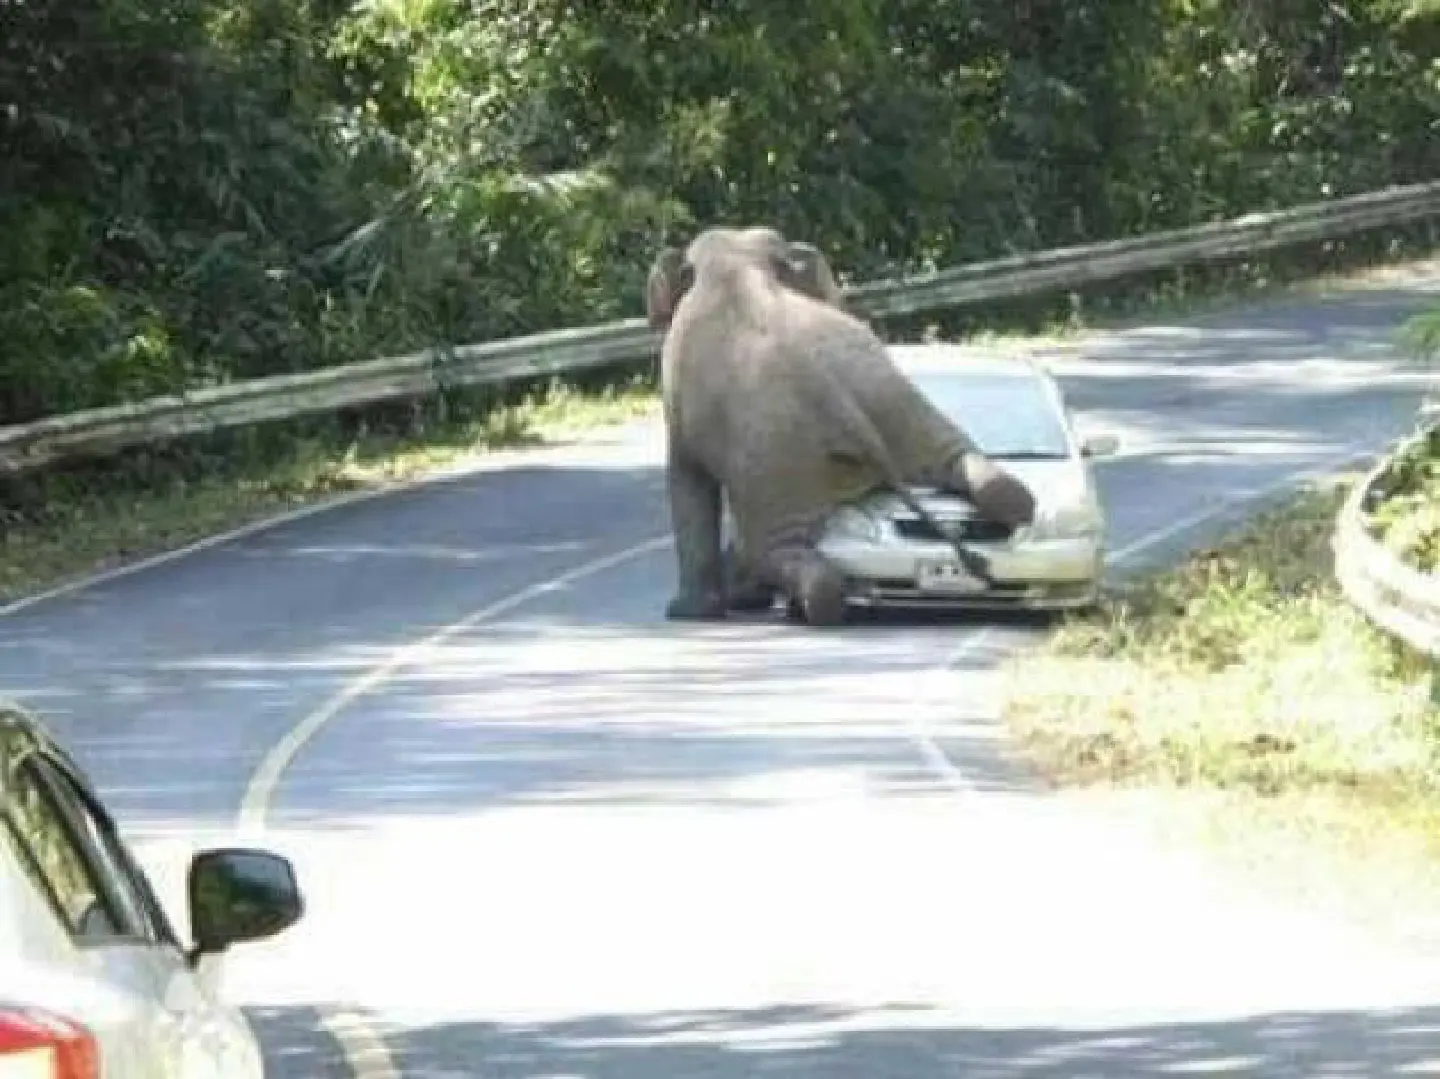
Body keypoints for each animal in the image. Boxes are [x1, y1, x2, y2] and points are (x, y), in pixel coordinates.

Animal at [645, 225, 1037, 626]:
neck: (737, 263)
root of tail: (840, 404)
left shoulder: (679, 395)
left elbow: (687, 480)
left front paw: (686, 613)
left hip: (779, 462)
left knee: (773, 551)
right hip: (894, 402)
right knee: (975, 469)